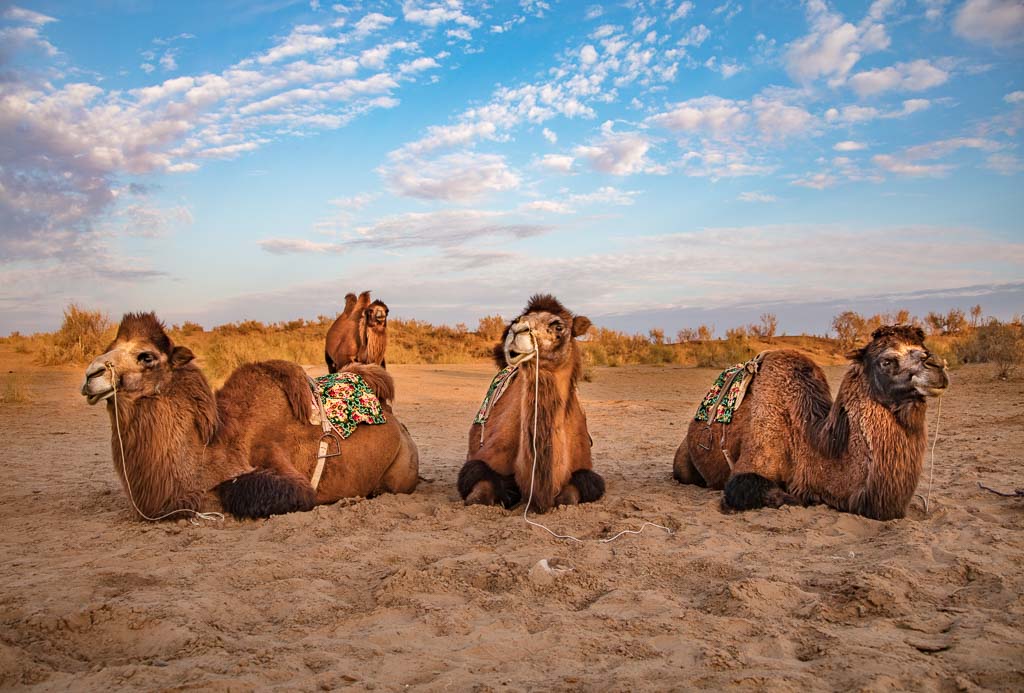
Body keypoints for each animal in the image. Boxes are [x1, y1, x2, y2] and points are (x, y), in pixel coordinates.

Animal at [80, 312, 418, 520]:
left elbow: (241, 490)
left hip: (401, 472)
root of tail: (399, 425)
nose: (91, 376)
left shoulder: (283, 472)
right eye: (109, 346)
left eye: (146, 356)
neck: (212, 445)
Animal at [457, 294, 604, 513]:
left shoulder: (584, 473)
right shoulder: (480, 464)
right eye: (517, 319)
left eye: (558, 325)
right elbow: (477, 497)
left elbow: (568, 499)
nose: (518, 329)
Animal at [673, 325, 949, 520]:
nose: (937, 365)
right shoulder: (750, 466)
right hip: (683, 464)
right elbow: (781, 495)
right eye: (887, 360)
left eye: (922, 346)